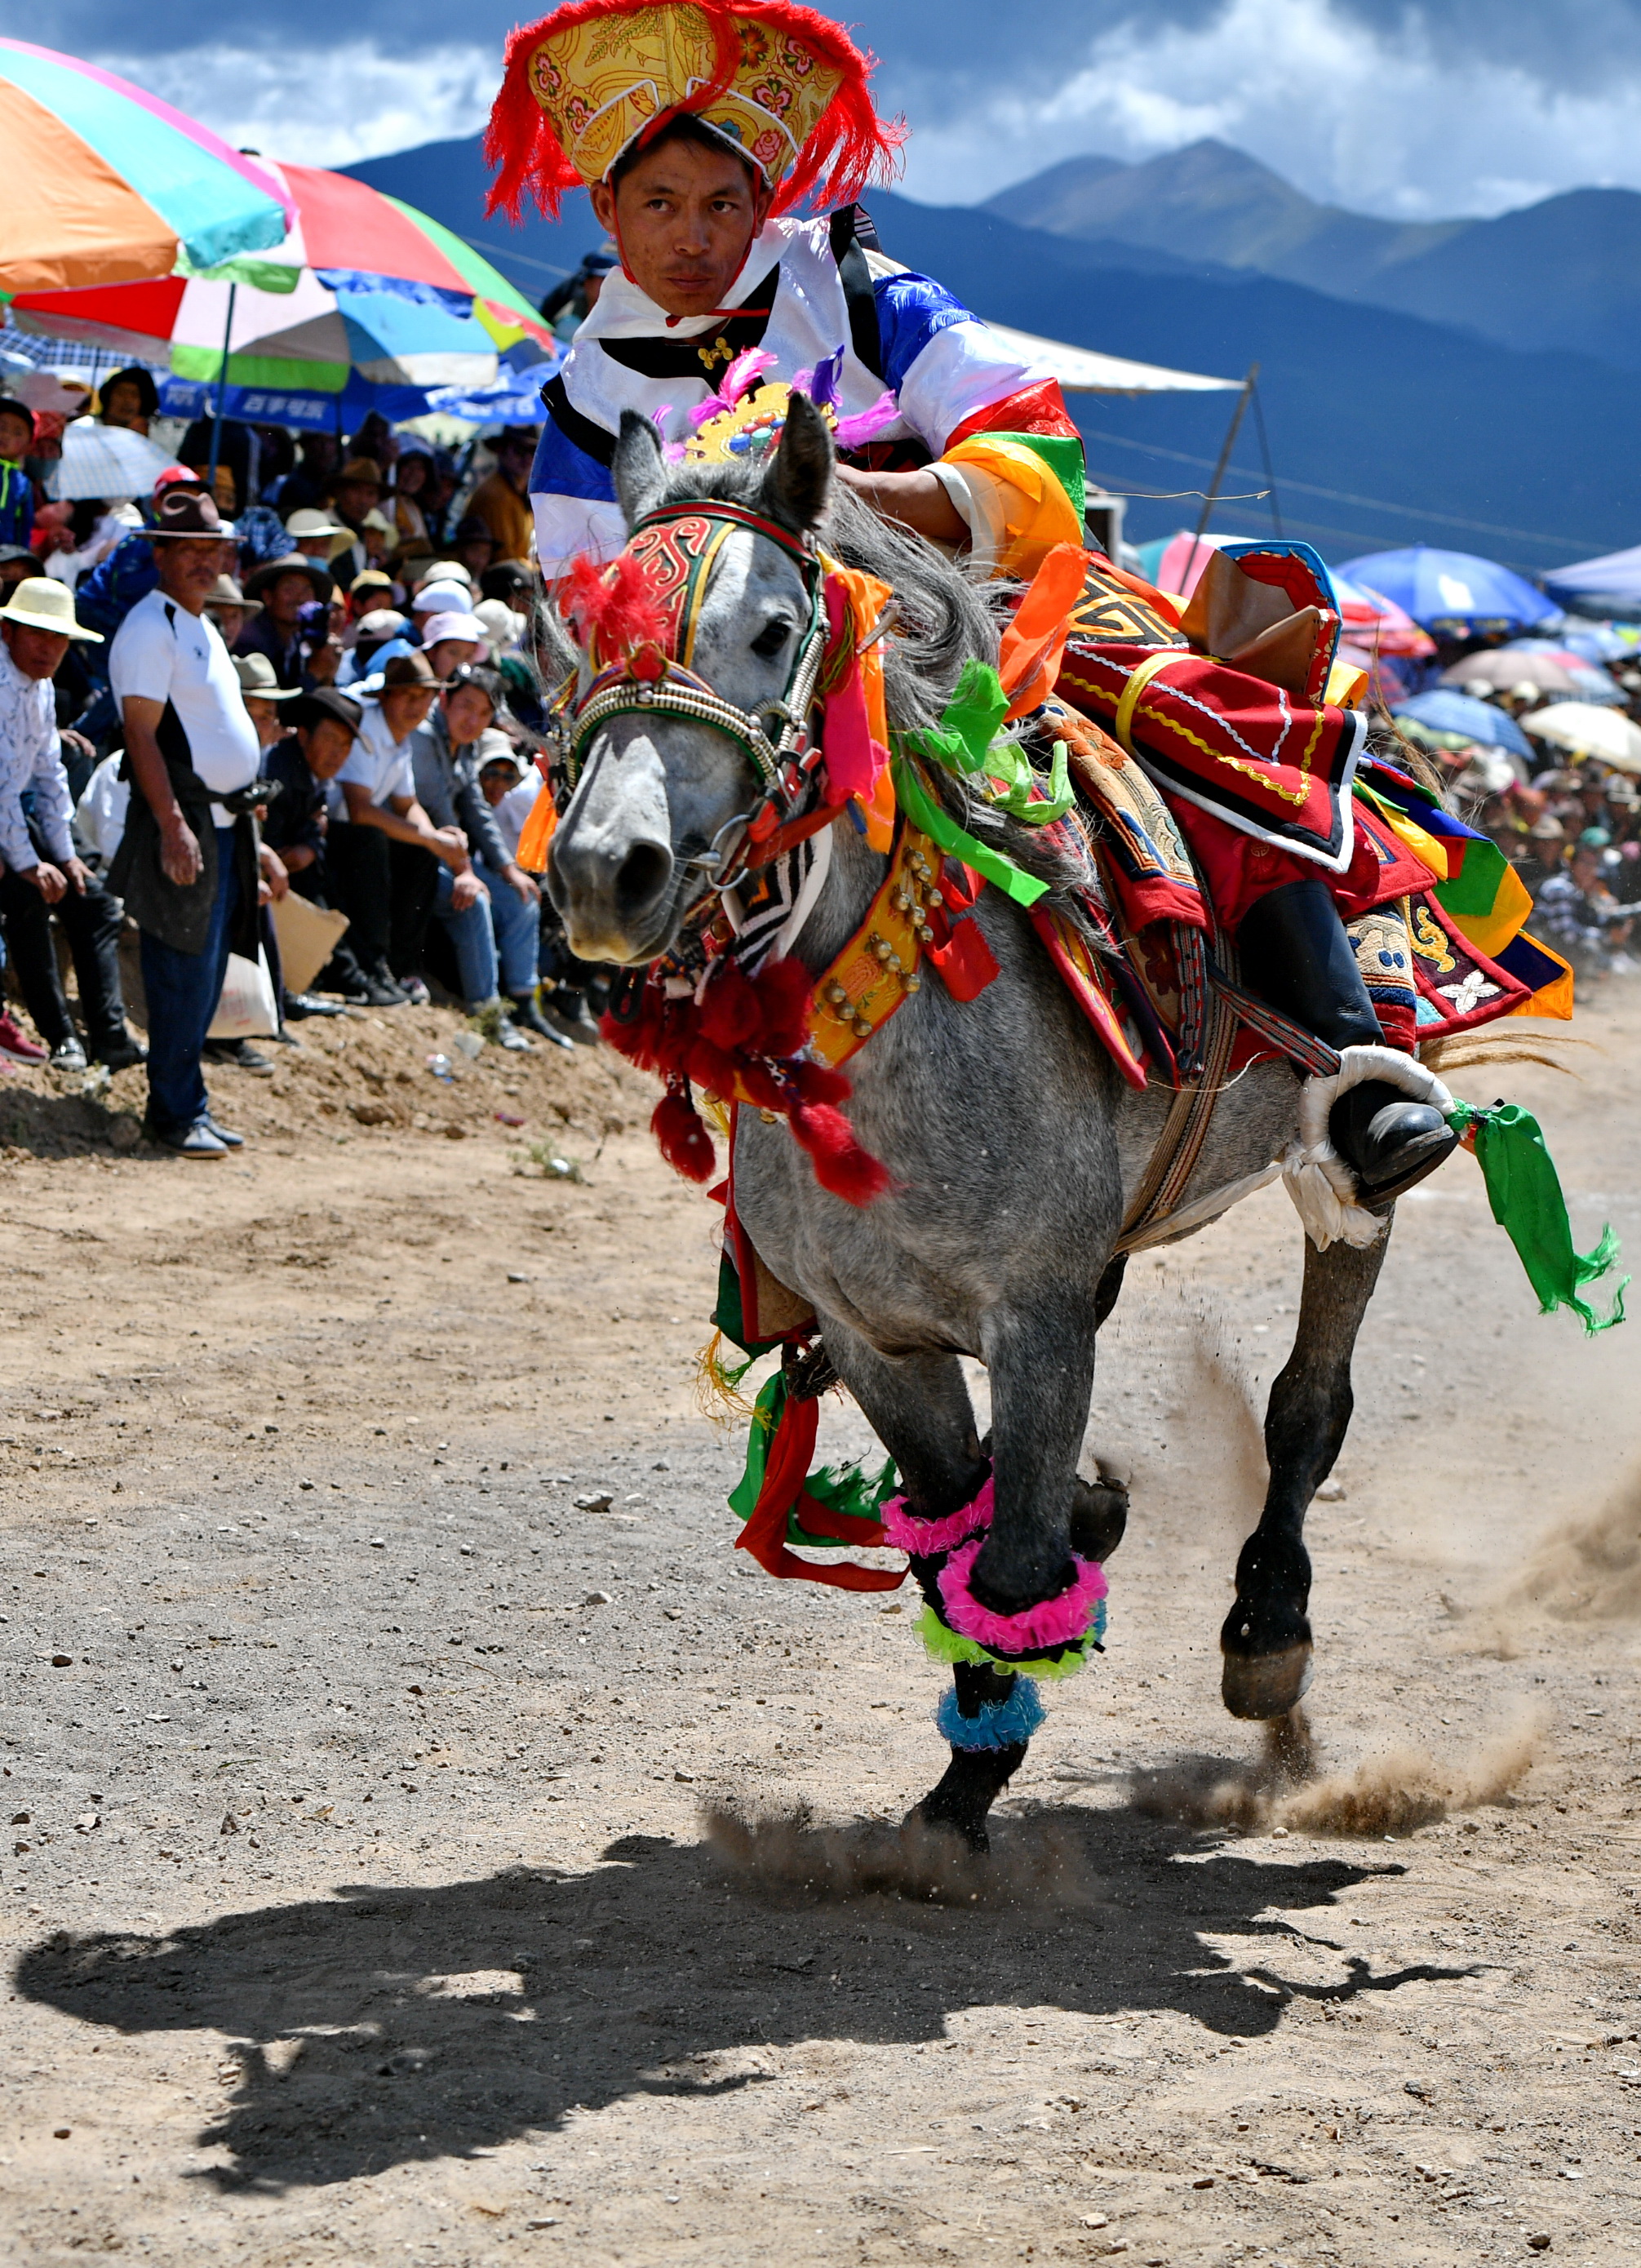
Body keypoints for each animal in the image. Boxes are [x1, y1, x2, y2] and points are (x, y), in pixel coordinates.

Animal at [541, 399, 1386, 1850]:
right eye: (595, 632)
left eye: (772, 626)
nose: (607, 871)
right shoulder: (868, 1330)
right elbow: (956, 1521)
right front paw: (966, 1764)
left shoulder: (1035, 1314)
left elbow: (1011, 1551)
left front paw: (971, 1783)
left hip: (1348, 1158)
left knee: (1306, 1400)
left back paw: (1269, 1632)